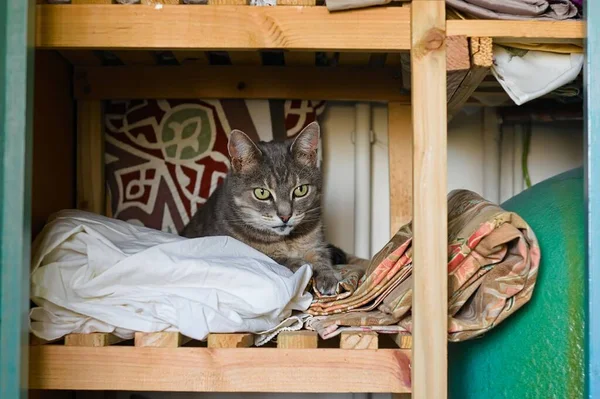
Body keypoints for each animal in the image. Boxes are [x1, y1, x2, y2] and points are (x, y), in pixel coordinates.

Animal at [180, 123, 342, 296]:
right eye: (262, 193)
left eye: (301, 190)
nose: (285, 216)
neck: (287, 241)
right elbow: (271, 258)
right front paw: (300, 264)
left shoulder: (317, 243)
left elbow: (322, 257)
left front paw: (328, 276)